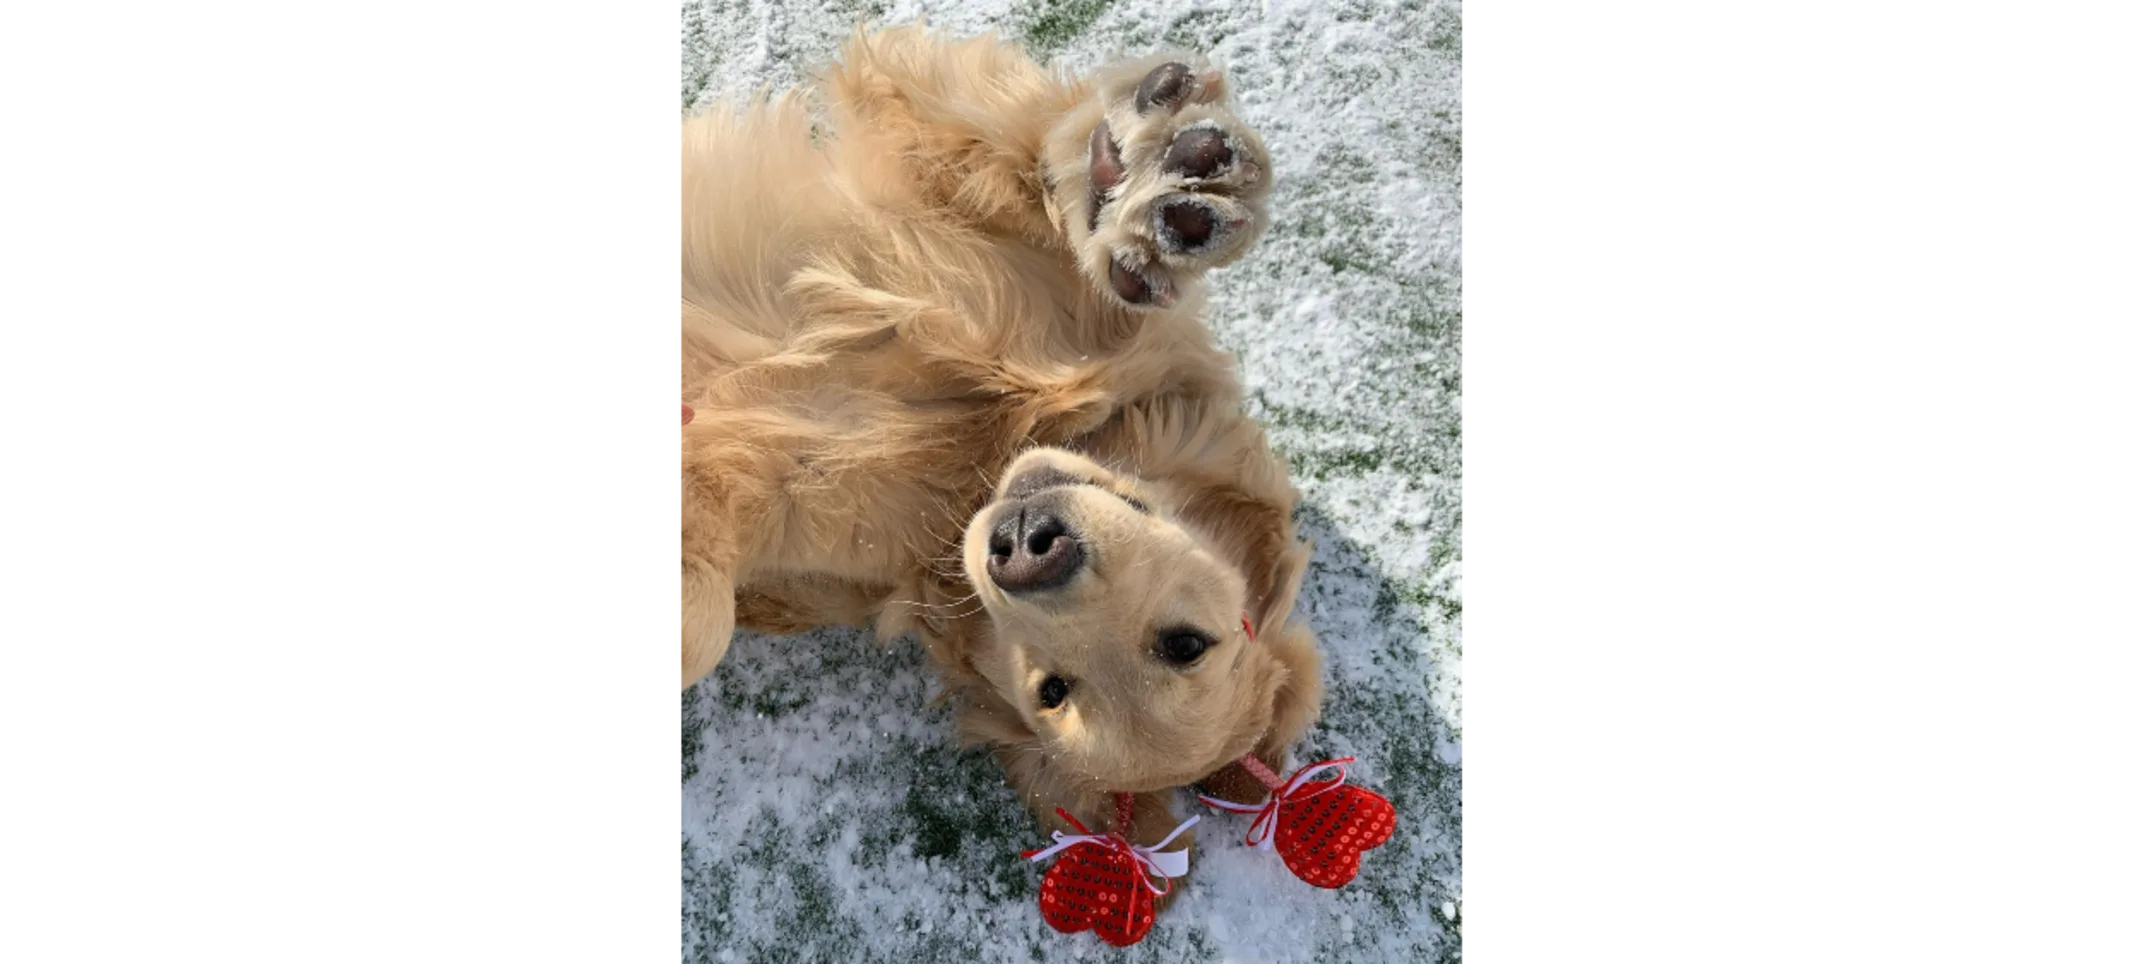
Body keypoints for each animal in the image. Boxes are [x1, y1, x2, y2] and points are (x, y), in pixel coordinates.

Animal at [684, 28, 1318, 904]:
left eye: (1052, 691)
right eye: (1187, 643)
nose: (1026, 549)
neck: (983, 455)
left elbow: (706, 619)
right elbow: (1029, 164)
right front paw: (1145, 180)